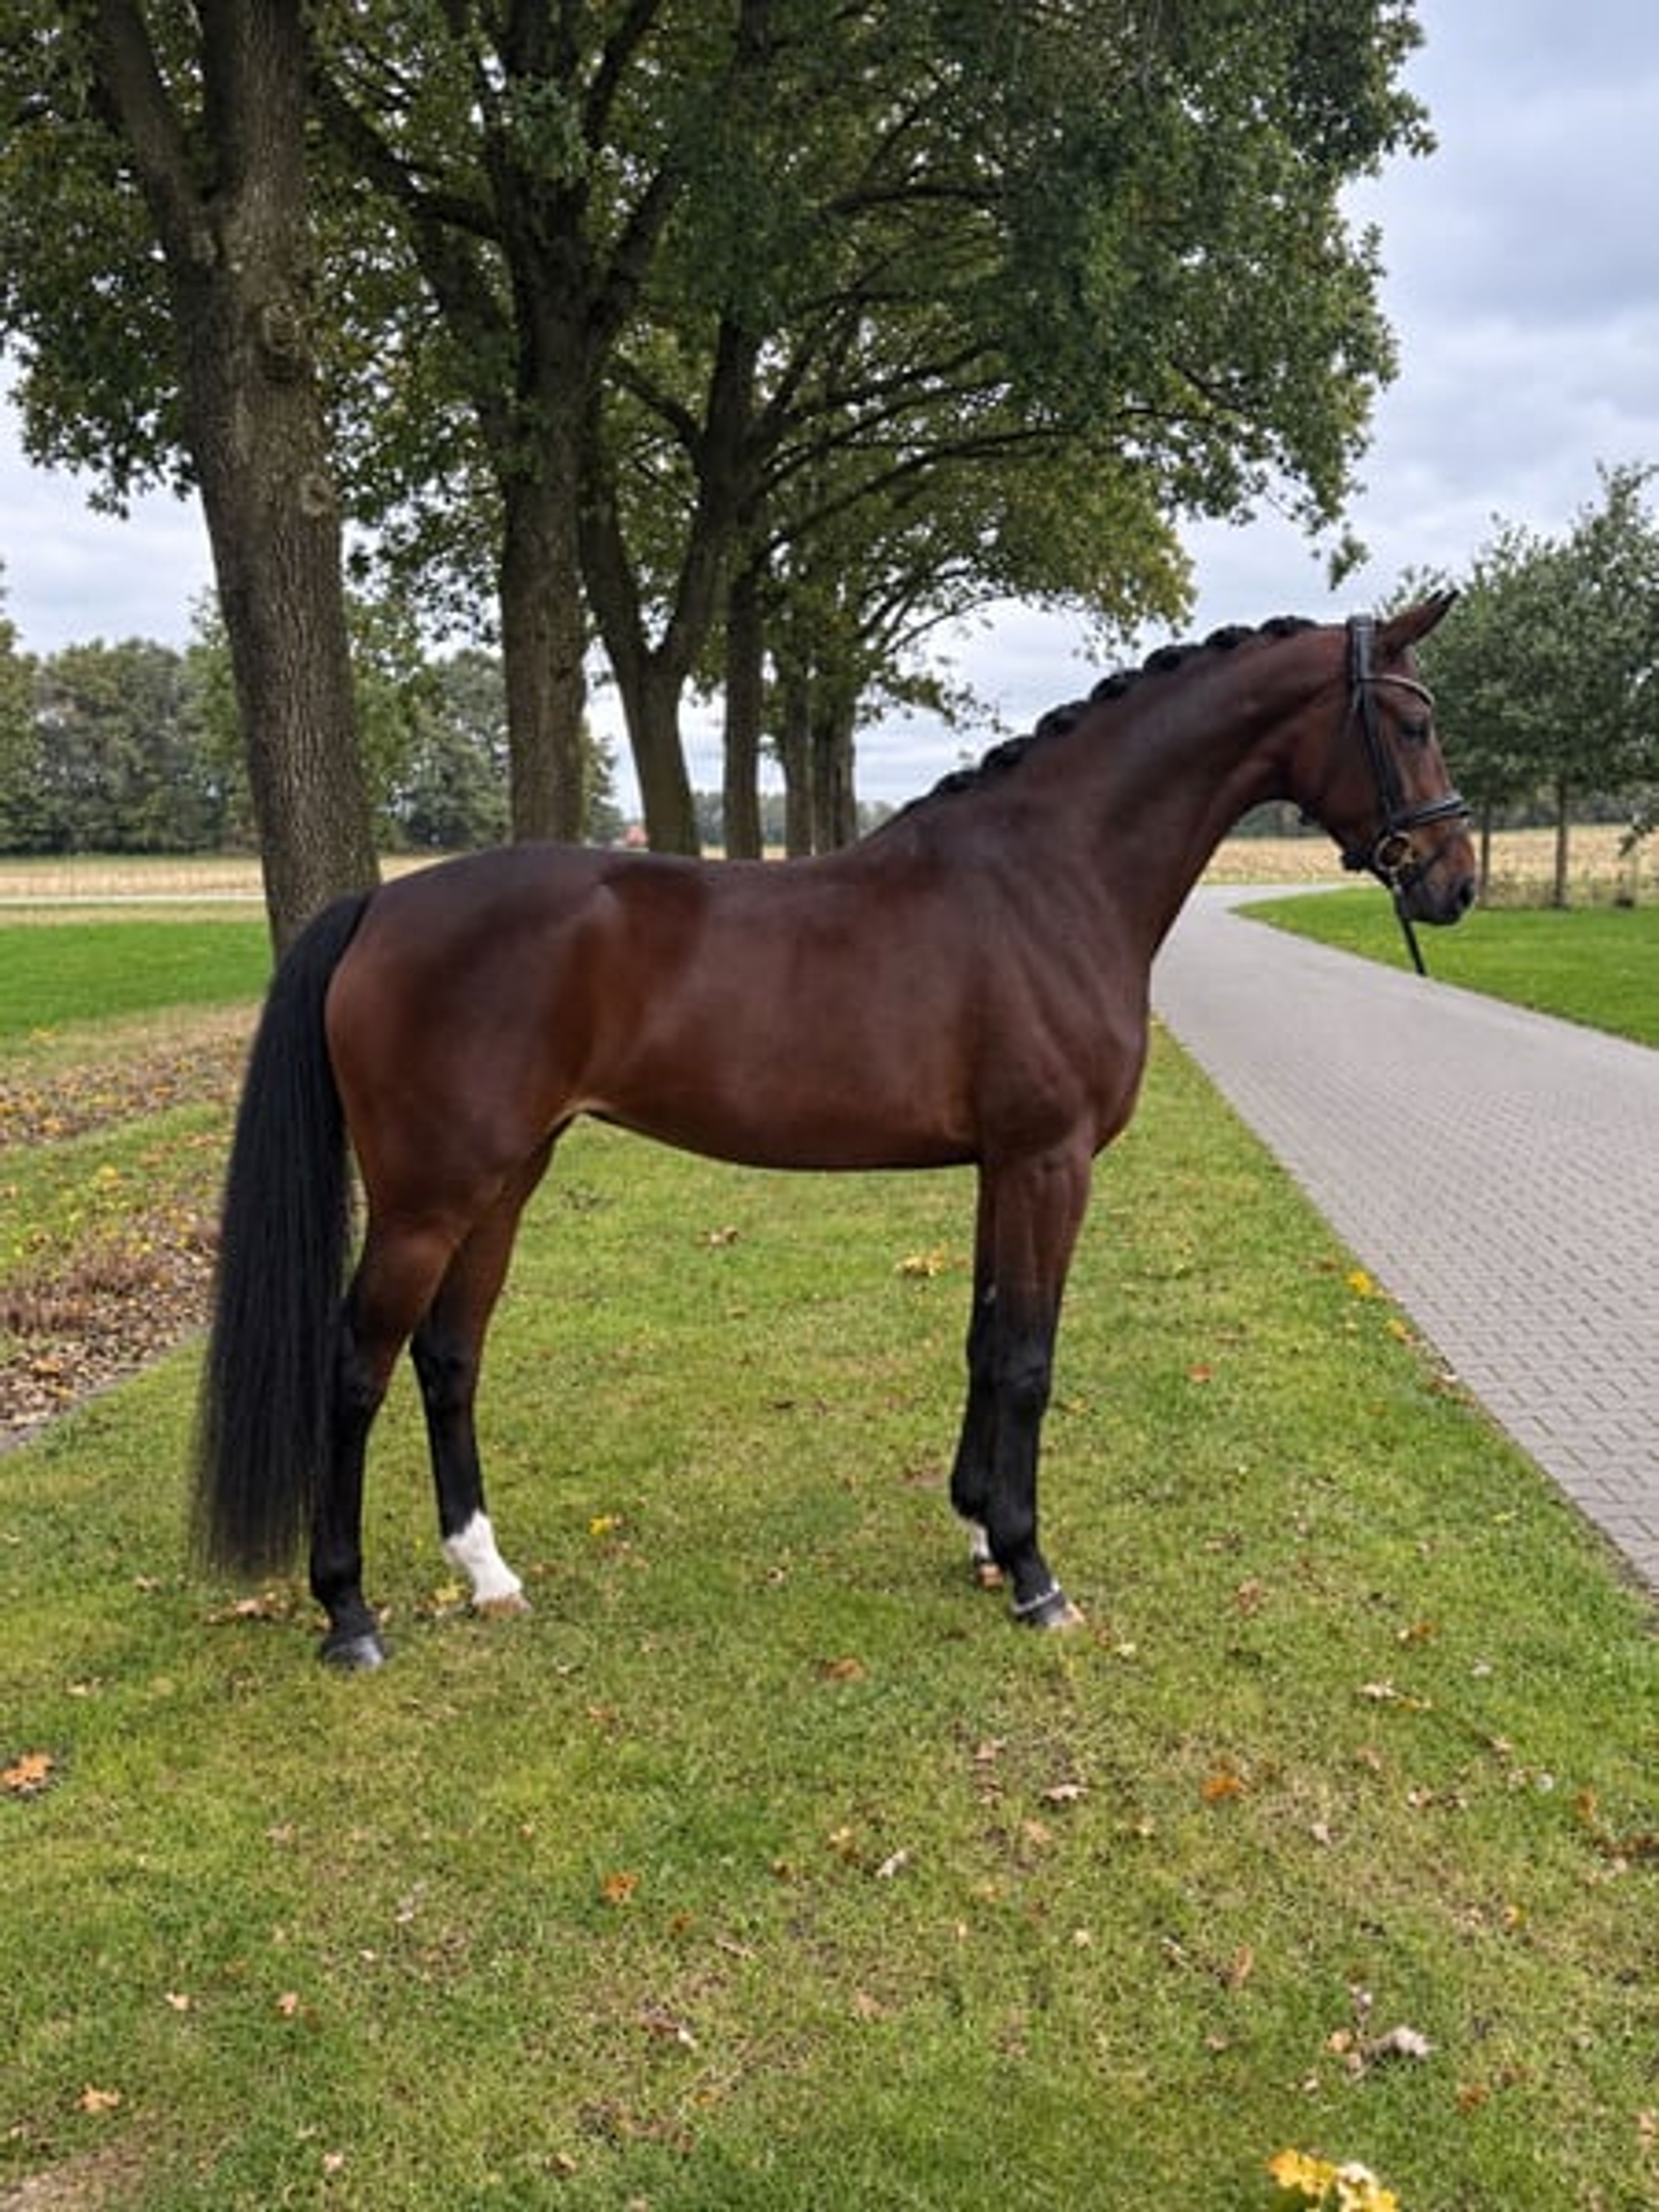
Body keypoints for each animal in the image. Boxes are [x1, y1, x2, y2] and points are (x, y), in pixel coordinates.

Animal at [194, 596, 1475, 1669]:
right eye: (1412, 721)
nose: (1455, 880)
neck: (1053, 880)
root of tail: (380, 905)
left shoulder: (1001, 1168)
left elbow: (985, 1342)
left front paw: (979, 1534)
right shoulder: (1049, 1163)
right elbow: (1030, 1359)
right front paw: (1035, 1573)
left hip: (505, 1178)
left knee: (449, 1355)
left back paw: (487, 1572)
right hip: (428, 1197)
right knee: (355, 1367)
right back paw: (349, 1613)